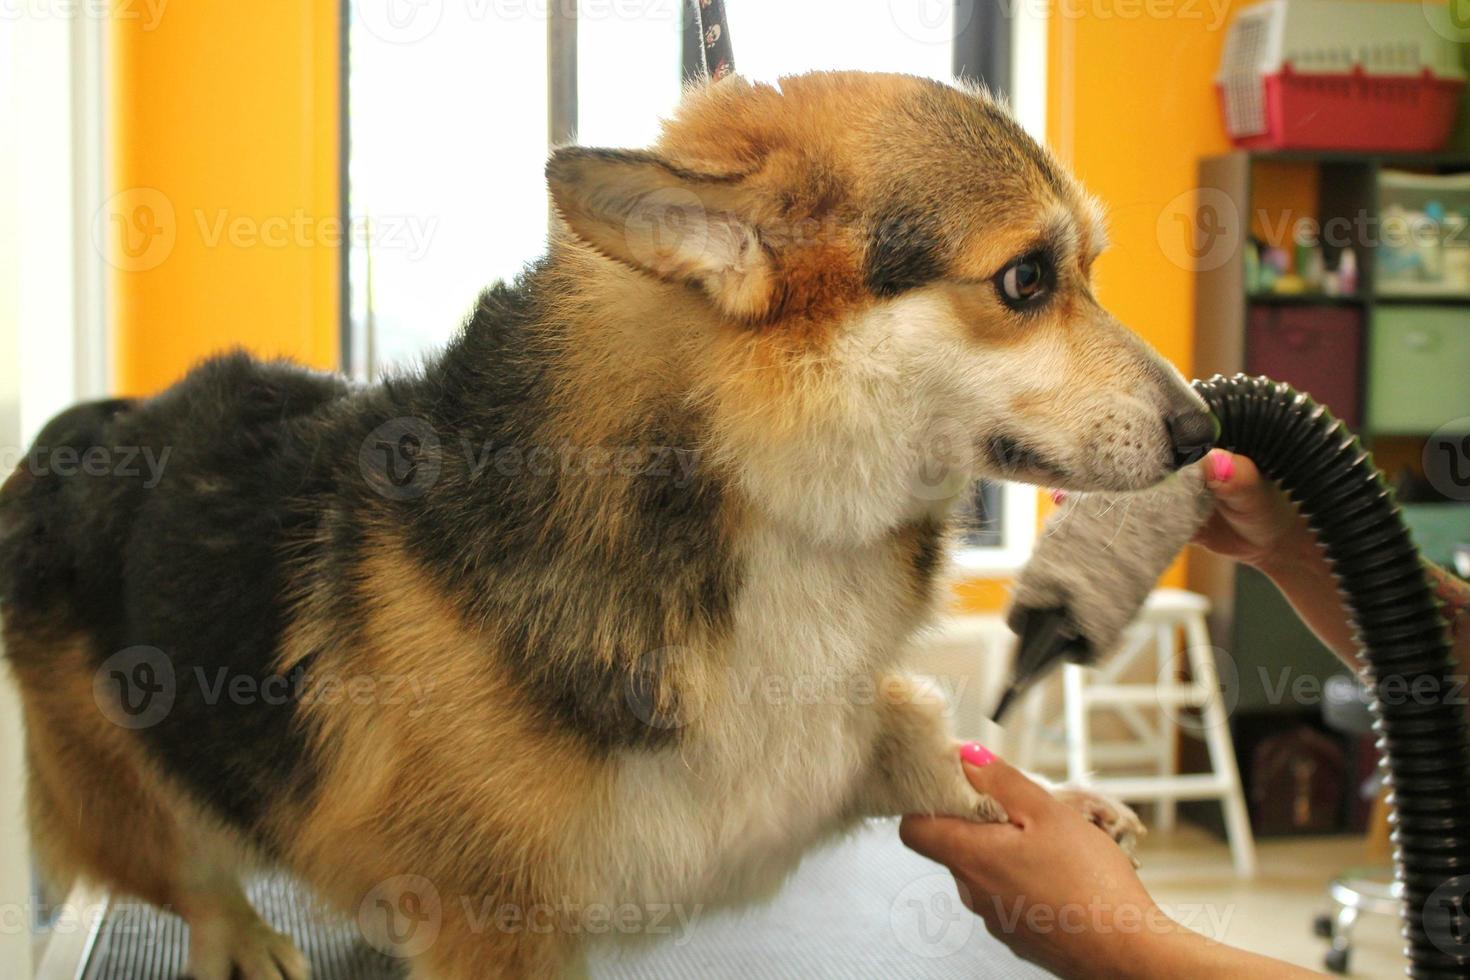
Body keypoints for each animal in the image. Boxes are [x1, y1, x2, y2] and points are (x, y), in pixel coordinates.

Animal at [5, 72, 1211, 975]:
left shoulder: (795, 767)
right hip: (138, 771)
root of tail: (86, 427)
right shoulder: (500, 924)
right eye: (1025, 280)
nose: (1205, 430)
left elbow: (928, 743)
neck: (747, 492)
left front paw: (1057, 807)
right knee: (184, 872)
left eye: (1088, 269)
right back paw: (249, 935)